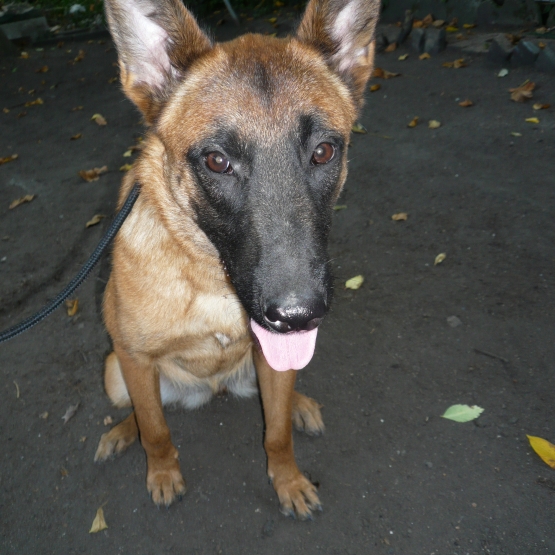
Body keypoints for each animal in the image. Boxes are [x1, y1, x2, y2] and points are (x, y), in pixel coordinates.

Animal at [95, 0, 380, 520]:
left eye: (324, 151)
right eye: (216, 161)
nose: (297, 317)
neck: (211, 280)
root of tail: (215, 389)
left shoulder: (276, 360)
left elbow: (277, 433)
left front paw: (288, 480)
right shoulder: (135, 360)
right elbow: (157, 431)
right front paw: (162, 472)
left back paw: (300, 404)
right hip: (114, 371)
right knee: (142, 414)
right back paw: (123, 433)